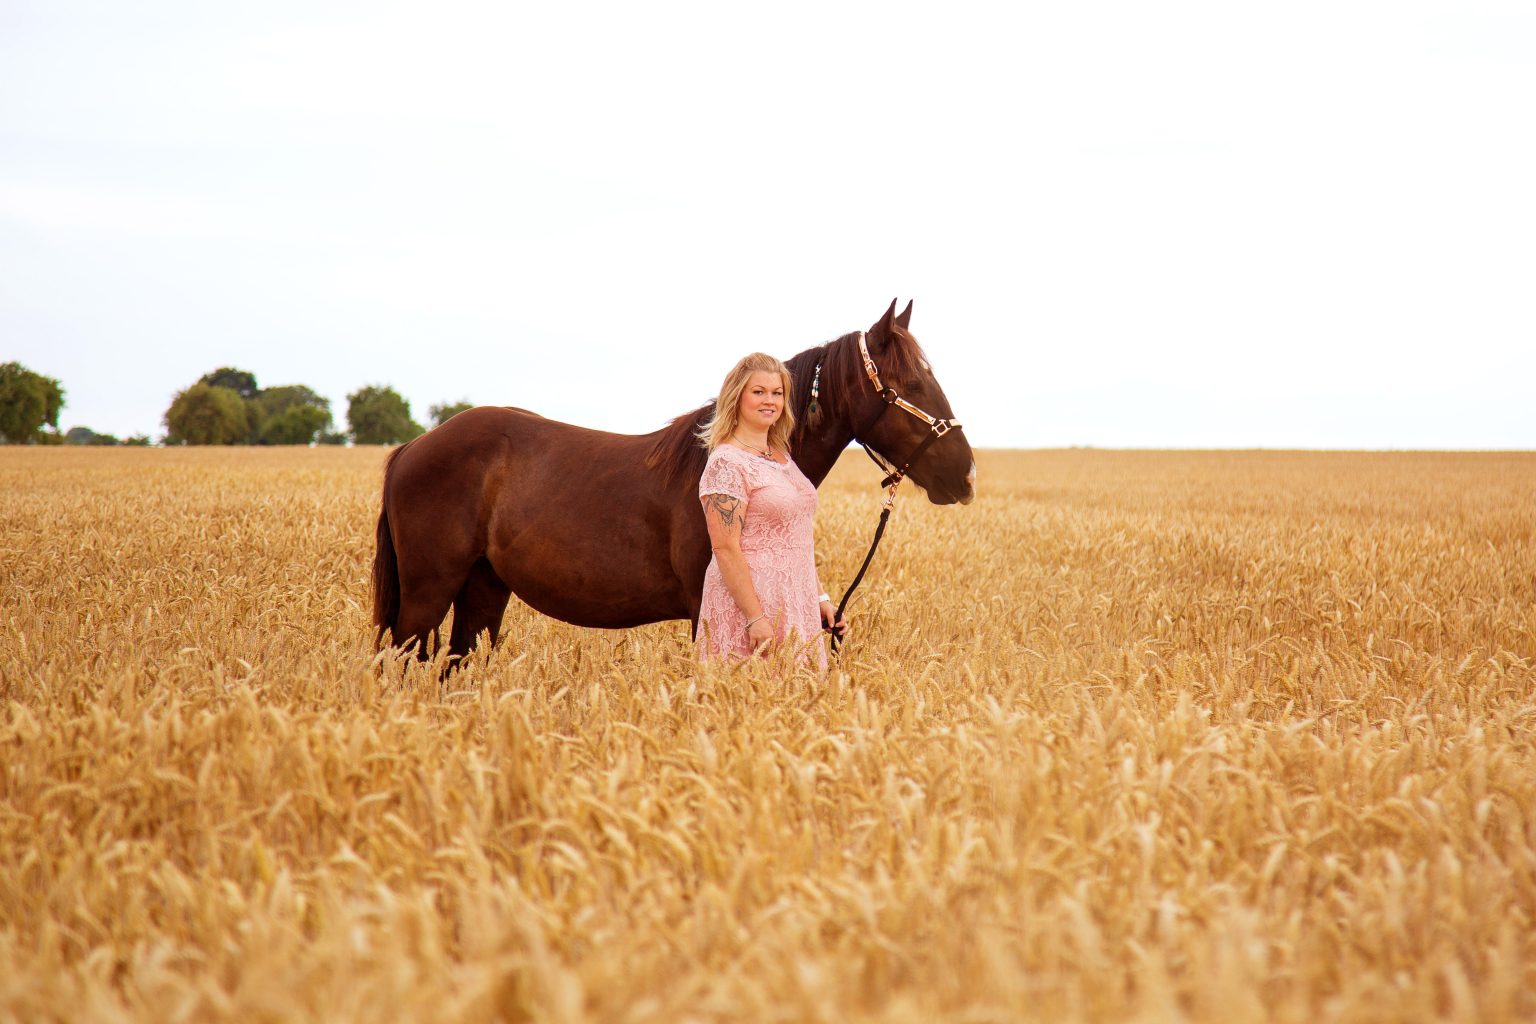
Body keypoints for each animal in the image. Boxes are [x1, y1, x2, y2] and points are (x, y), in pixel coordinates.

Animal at [371, 299, 976, 663]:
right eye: (911, 385)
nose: (965, 473)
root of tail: (413, 448)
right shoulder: (705, 608)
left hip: (483, 587)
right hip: (427, 592)